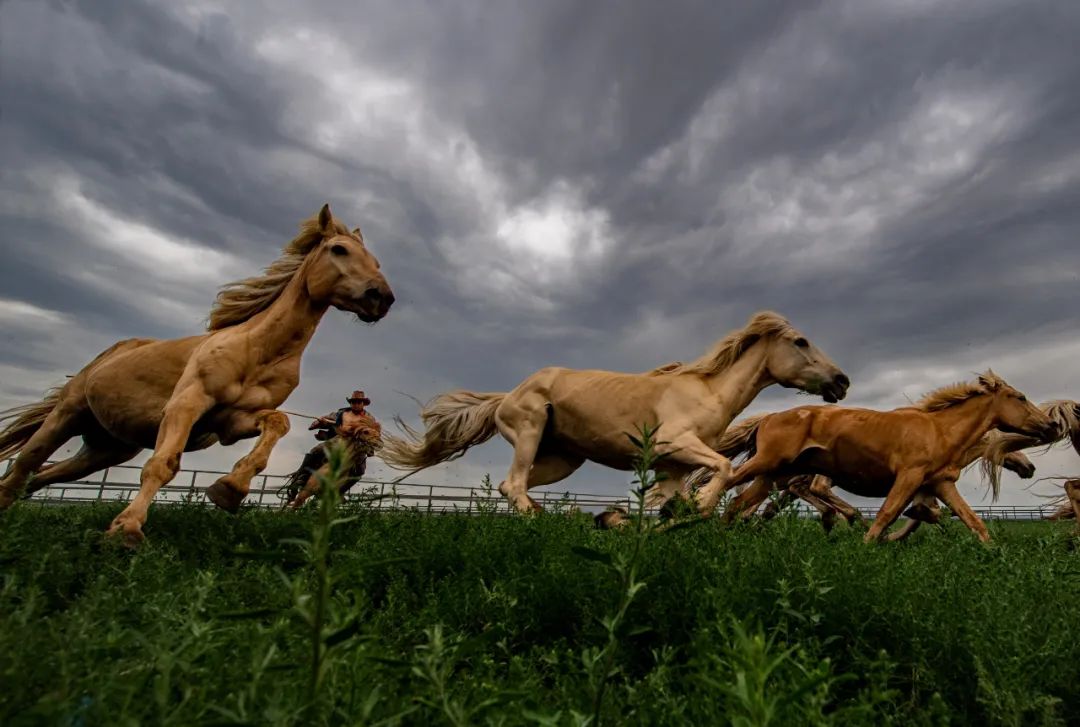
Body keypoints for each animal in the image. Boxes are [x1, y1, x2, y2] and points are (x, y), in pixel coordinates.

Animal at [0, 200, 395, 542]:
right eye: (339, 250)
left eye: (376, 260)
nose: (382, 297)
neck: (259, 349)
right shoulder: (187, 404)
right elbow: (162, 464)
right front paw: (127, 528)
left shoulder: (232, 422)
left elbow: (278, 423)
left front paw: (229, 489)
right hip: (68, 414)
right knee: (25, 466)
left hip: (108, 448)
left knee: (40, 477)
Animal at [380, 308, 851, 514]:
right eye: (801, 341)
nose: (842, 381)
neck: (709, 390)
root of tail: (508, 395)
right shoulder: (673, 443)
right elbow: (721, 468)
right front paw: (702, 504)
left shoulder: (673, 466)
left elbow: (673, 500)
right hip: (529, 432)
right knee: (513, 485)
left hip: (562, 460)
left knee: (512, 486)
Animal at [712, 371, 1058, 542]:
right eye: (1019, 397)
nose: (1051, 425)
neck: (939, 429)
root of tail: (767, 418)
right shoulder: (909, 477)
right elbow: (887, 515)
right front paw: (870, 543)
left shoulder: (940, 484)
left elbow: (973, 523)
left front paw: (996, 554)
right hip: (767, 466)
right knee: (726, 481)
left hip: (773, 476)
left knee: (740, 503)